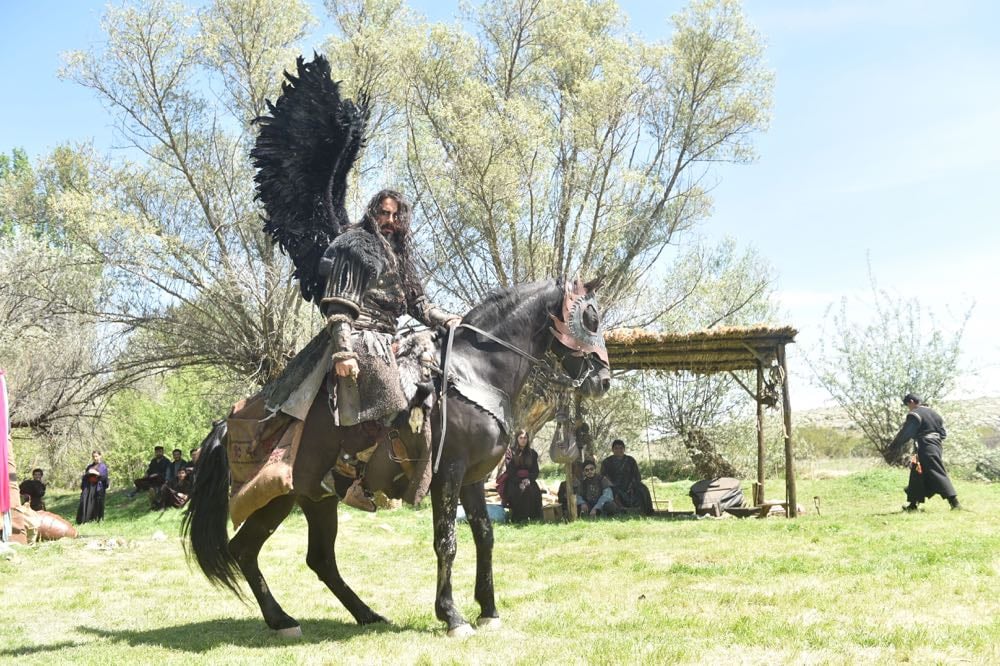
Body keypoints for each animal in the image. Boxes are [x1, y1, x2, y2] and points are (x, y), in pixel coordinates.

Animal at [184, 278, 612, 636]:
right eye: (590, 317)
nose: (603, 381)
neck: (476, 371)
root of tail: (228, 424)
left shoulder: (473, 479)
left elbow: (485, 538)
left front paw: (488, 611)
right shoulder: (448, 474)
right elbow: (447, 542)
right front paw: (452, 616)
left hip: (315, 500)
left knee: (317, 559)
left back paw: (365, 615)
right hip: (274, 499)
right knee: (245, 551)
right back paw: (282, 620)